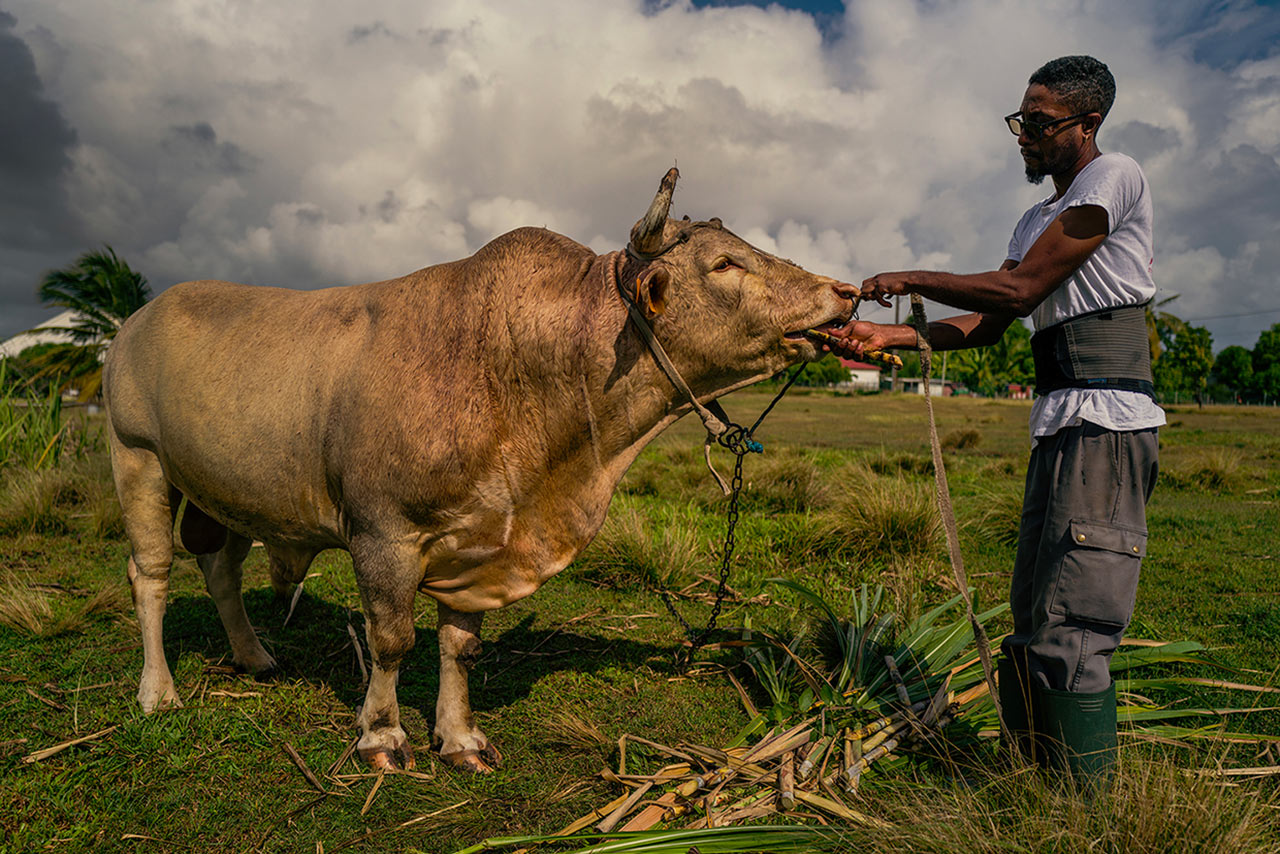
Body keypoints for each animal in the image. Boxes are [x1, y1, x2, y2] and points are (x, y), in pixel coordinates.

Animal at [107, 169, 849, 773]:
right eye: (724, 263)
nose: (842, 291)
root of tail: (138, 317)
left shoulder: (483, 539)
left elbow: (458, 647)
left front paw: (459, 738)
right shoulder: (383, 535)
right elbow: (392, 640)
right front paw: (382, 735)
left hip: (226, 489)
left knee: (221, 568)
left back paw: (255, 655)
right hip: (137, 457)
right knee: (152, 576)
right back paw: (159, 692)